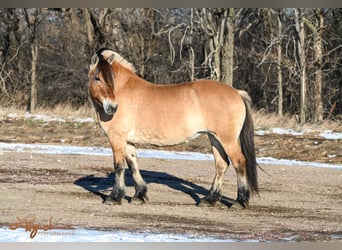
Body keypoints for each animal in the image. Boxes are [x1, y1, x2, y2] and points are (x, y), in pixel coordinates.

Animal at [88, 47, 260, 208]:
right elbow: (133, 164)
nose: (112, 108)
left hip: (227, 139)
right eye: (97, 78)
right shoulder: (128, 141)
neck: (123, 91)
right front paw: (139, 195)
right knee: (221, 165)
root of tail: (237, 92)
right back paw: (209, 199)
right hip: (214, 138)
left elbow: (119, 166)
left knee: (239, 162)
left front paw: (114, 197)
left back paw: (240, 201)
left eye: (112, 78)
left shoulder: (116, 138)